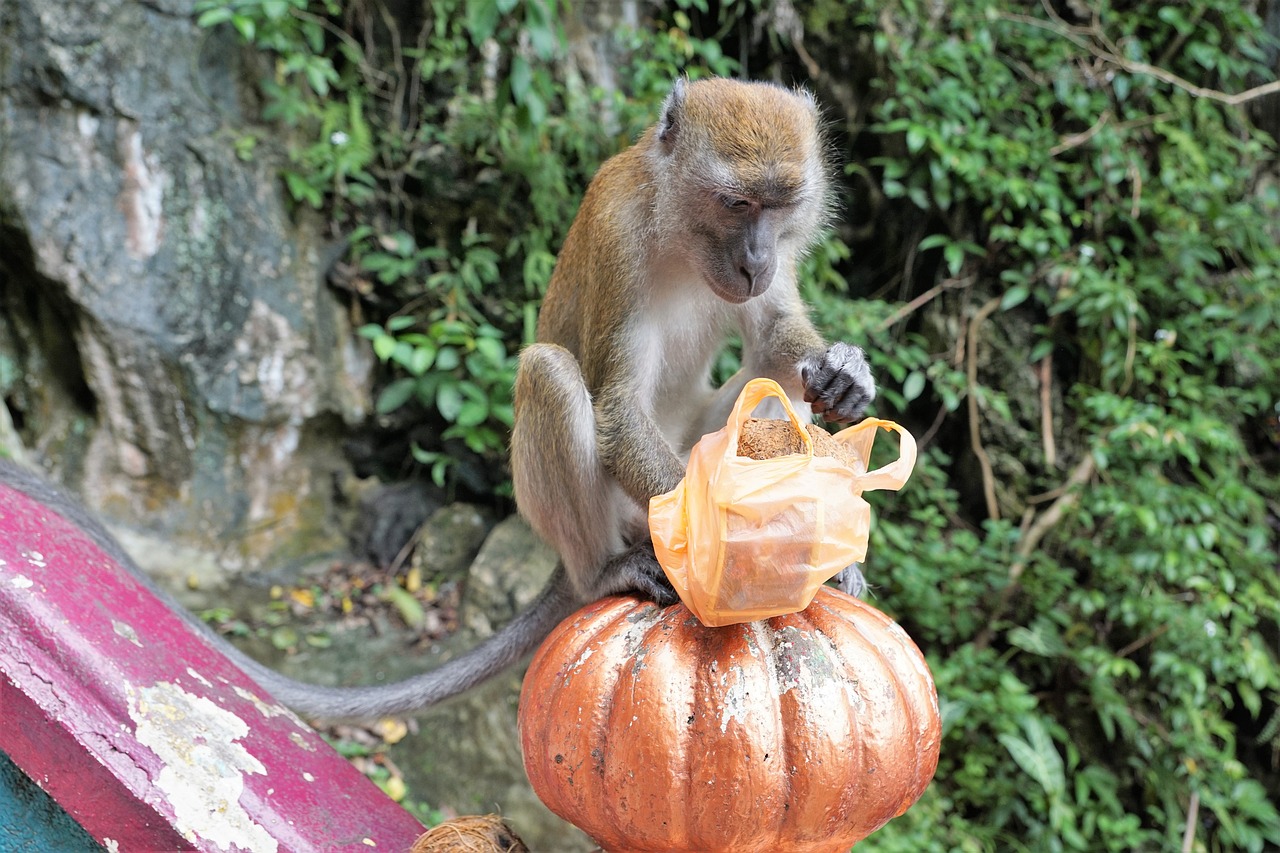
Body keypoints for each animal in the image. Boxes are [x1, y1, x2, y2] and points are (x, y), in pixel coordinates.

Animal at [0, 79, 875, 717]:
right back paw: (608, 572)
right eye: (737, 203)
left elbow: (776, 345)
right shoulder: (622, 236)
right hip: (613, 513)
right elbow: (617, 405)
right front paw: (763, 554)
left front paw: (842, 371)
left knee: (762, 395)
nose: (757, 257)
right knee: (549, 374)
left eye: (780, 204)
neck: (681, 234)